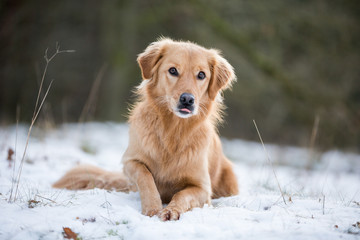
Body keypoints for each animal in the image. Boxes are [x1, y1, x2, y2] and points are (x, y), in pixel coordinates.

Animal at [52, 38, 239, 221]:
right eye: (173, 70)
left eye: (201, 75)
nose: (187, 99)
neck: (173, 130)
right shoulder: (130, 162)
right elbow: (145, 176)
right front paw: (152, 207)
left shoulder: (202, 188)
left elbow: (182, 195)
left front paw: (172, 210)